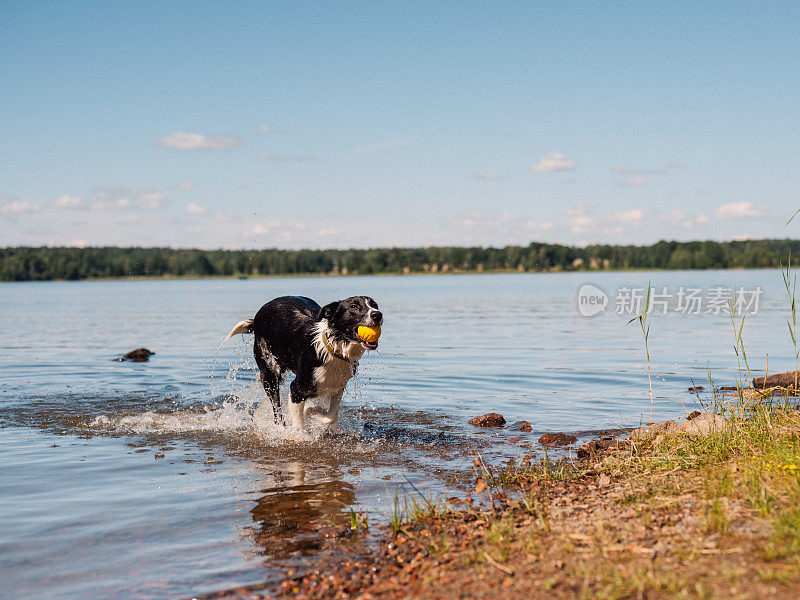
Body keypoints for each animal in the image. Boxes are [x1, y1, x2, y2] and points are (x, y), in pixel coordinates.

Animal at [225, 294, 384, 426]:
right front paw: (301, 431)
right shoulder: (297, 388)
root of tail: (257, 317)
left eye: (375, 305)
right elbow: (298, 422)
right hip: (269, 372)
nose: (377, 314)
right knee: (277, 411)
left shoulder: (338, 386)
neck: (334, 348)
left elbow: (331, 416)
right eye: (354, 306)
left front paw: (313, 412)